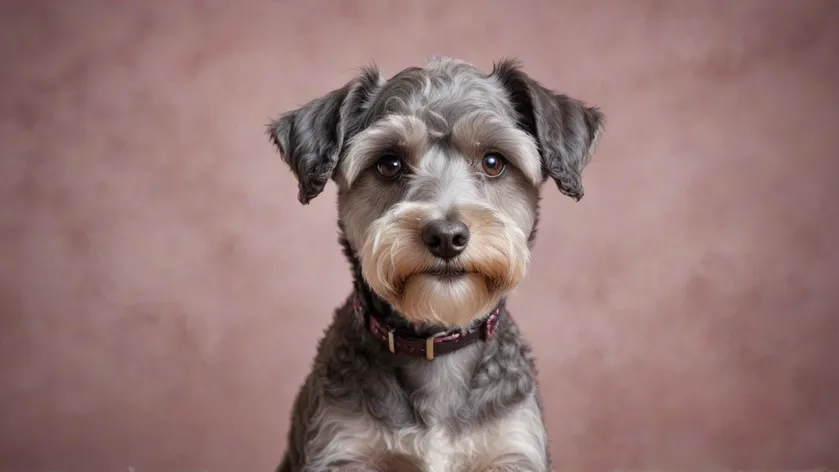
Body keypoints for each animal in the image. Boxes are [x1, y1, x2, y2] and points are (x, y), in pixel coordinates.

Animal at [270, 56, 604, 472]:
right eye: (389, 163)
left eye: (493, 161)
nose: (446, 236)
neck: (437, 345)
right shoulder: (341, 448)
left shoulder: (514, 448)